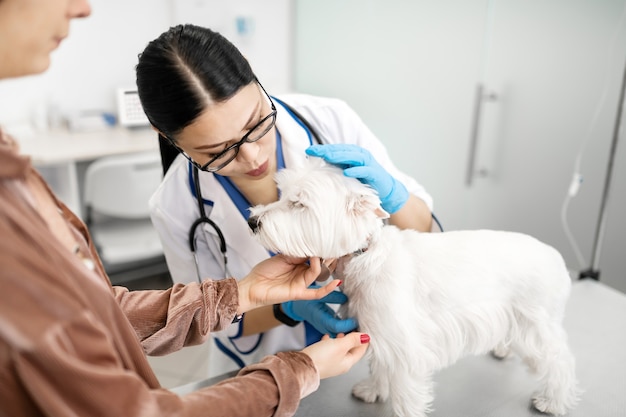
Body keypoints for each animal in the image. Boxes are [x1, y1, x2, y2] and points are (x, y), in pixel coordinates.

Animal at [246, 158, 576, 414]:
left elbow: (404, 390)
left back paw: (553, 401)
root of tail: (555, 256)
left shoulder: (405, 345)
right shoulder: (375, 331)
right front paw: (372, 390)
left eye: (298, 203)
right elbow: (379, 364)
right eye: (283, 194)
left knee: (559, 360)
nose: (253, 222)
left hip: (536, 322)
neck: (363, 256)